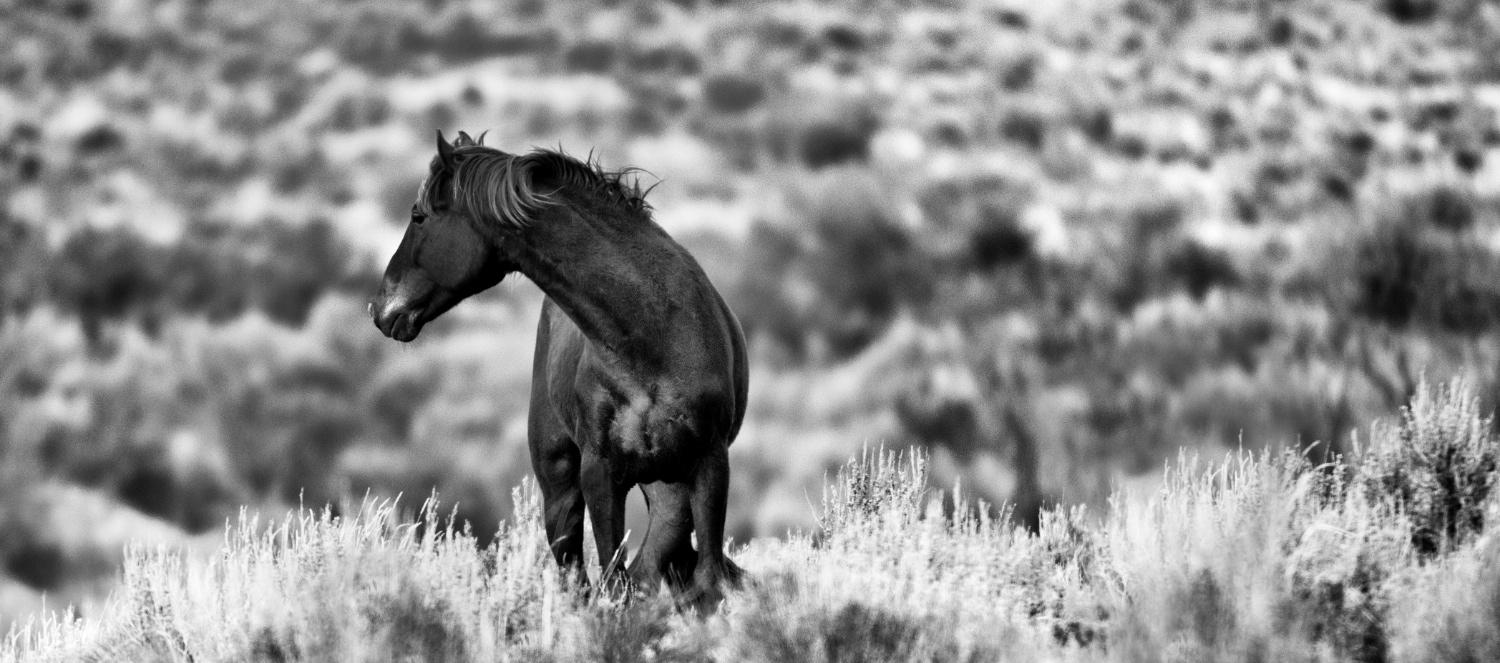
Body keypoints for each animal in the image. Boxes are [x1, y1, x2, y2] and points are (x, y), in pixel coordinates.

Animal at [370, 131, 748, 606]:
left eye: (419, 216)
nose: (380, 309)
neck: (652, 336)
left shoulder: (710, 464)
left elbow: (708, 583)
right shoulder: (600, 474)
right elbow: (613, 583)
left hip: (670, 494)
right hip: (563, 489)